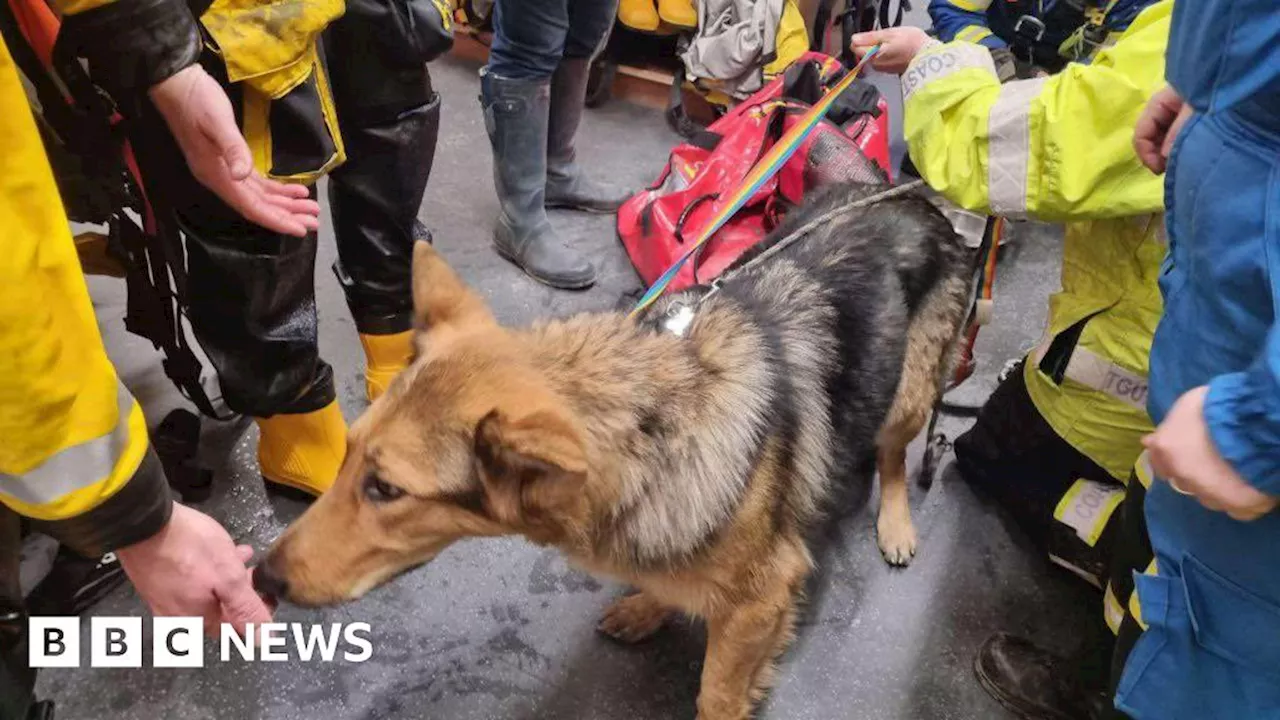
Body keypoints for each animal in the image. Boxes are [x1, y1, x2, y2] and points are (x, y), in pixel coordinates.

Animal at [252, 183, 967, 717]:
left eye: (386, 490)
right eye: (347, 457)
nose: (261, 579)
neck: (657, 437)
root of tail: (919, 197)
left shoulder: (763, 601)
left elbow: (717, 694)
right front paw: (654, 603)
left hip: (907, 400)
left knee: (894, 457)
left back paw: (895, 521)